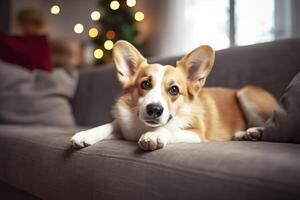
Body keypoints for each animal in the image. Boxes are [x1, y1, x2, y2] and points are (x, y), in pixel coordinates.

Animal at [71, 40, 278, 150]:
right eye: (145, 84)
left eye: (174, 90)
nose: (154, 110)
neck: (143, 126)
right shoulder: (124, 127)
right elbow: (108, 125)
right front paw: (85, 134)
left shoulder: (197, 134)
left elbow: (169, 129)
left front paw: (154, 136)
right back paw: (244, 134)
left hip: (246, 92)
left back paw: (255, 132)